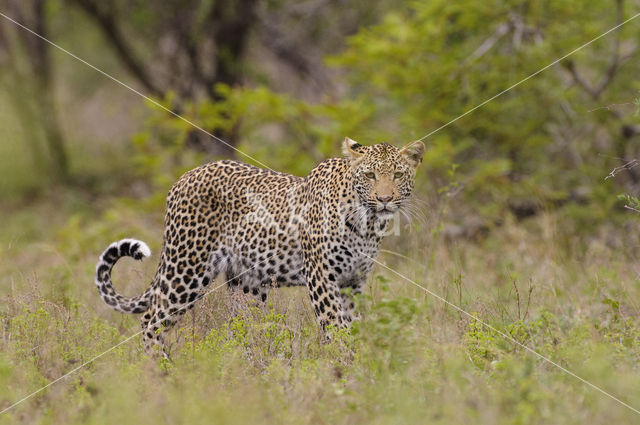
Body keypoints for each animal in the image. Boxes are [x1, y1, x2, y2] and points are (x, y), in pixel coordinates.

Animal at [94, 137, 424, 356]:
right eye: (370, 174)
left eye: (397, 175)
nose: (384, 199)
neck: (366, 222)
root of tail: (184, 177)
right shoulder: (321, 277)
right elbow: (336, 328)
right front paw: (346, 371)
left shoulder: (353, 283)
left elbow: (352, 326)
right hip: (188, 268)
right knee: (151, 320)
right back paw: (165, 374)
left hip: (246, 284)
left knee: (244, 329)